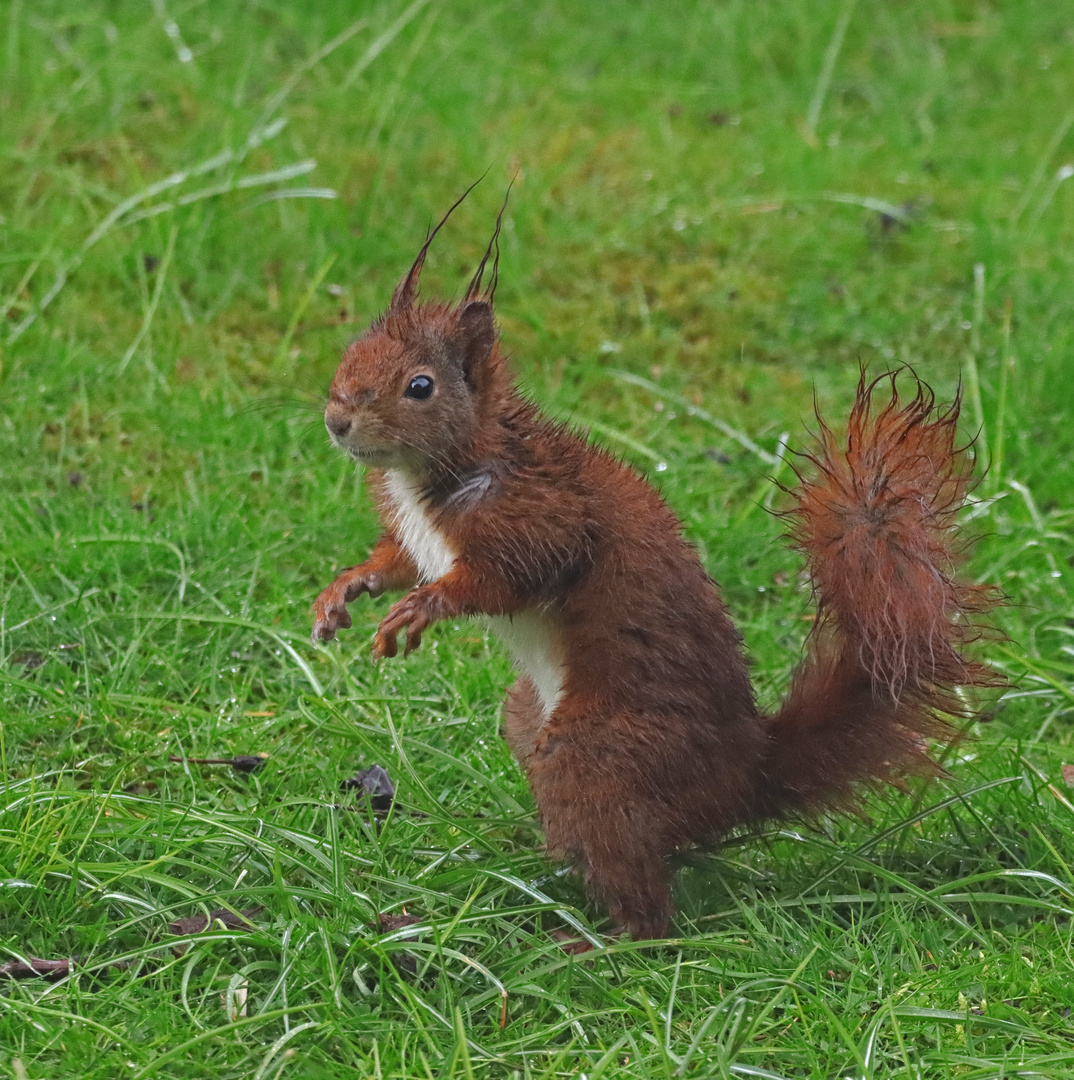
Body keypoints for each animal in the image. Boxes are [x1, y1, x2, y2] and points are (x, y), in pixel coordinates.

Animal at [309, 198, 998, 941]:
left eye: (420, 386)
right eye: (349, 355)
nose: (337, 420)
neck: (437, 470)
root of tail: (741, 776)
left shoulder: (543, 511)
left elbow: (509, 573)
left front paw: (423, 609)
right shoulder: (416, 533)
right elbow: (396, 559)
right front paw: (344, 591)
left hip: (599, 754)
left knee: (650, 909)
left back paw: (595, 940)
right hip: (529, 718)